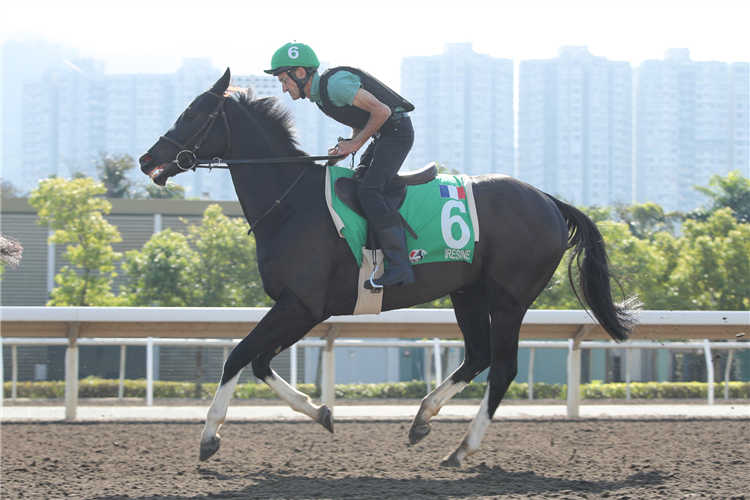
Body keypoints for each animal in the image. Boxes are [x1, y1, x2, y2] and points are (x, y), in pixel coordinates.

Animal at [138, 68, 636, 466]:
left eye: (191, 113)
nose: (147, 159)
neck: (290, 202)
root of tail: (550, 200)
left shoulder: (301, 304)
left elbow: (238, 355)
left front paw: (209, 436)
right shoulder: (307, 309)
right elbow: (259, 362)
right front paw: (321, 412)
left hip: (510, 297)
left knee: (502, 368)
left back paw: (461, 449)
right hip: (467, 292)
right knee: (477, 356)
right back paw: (422, 418)